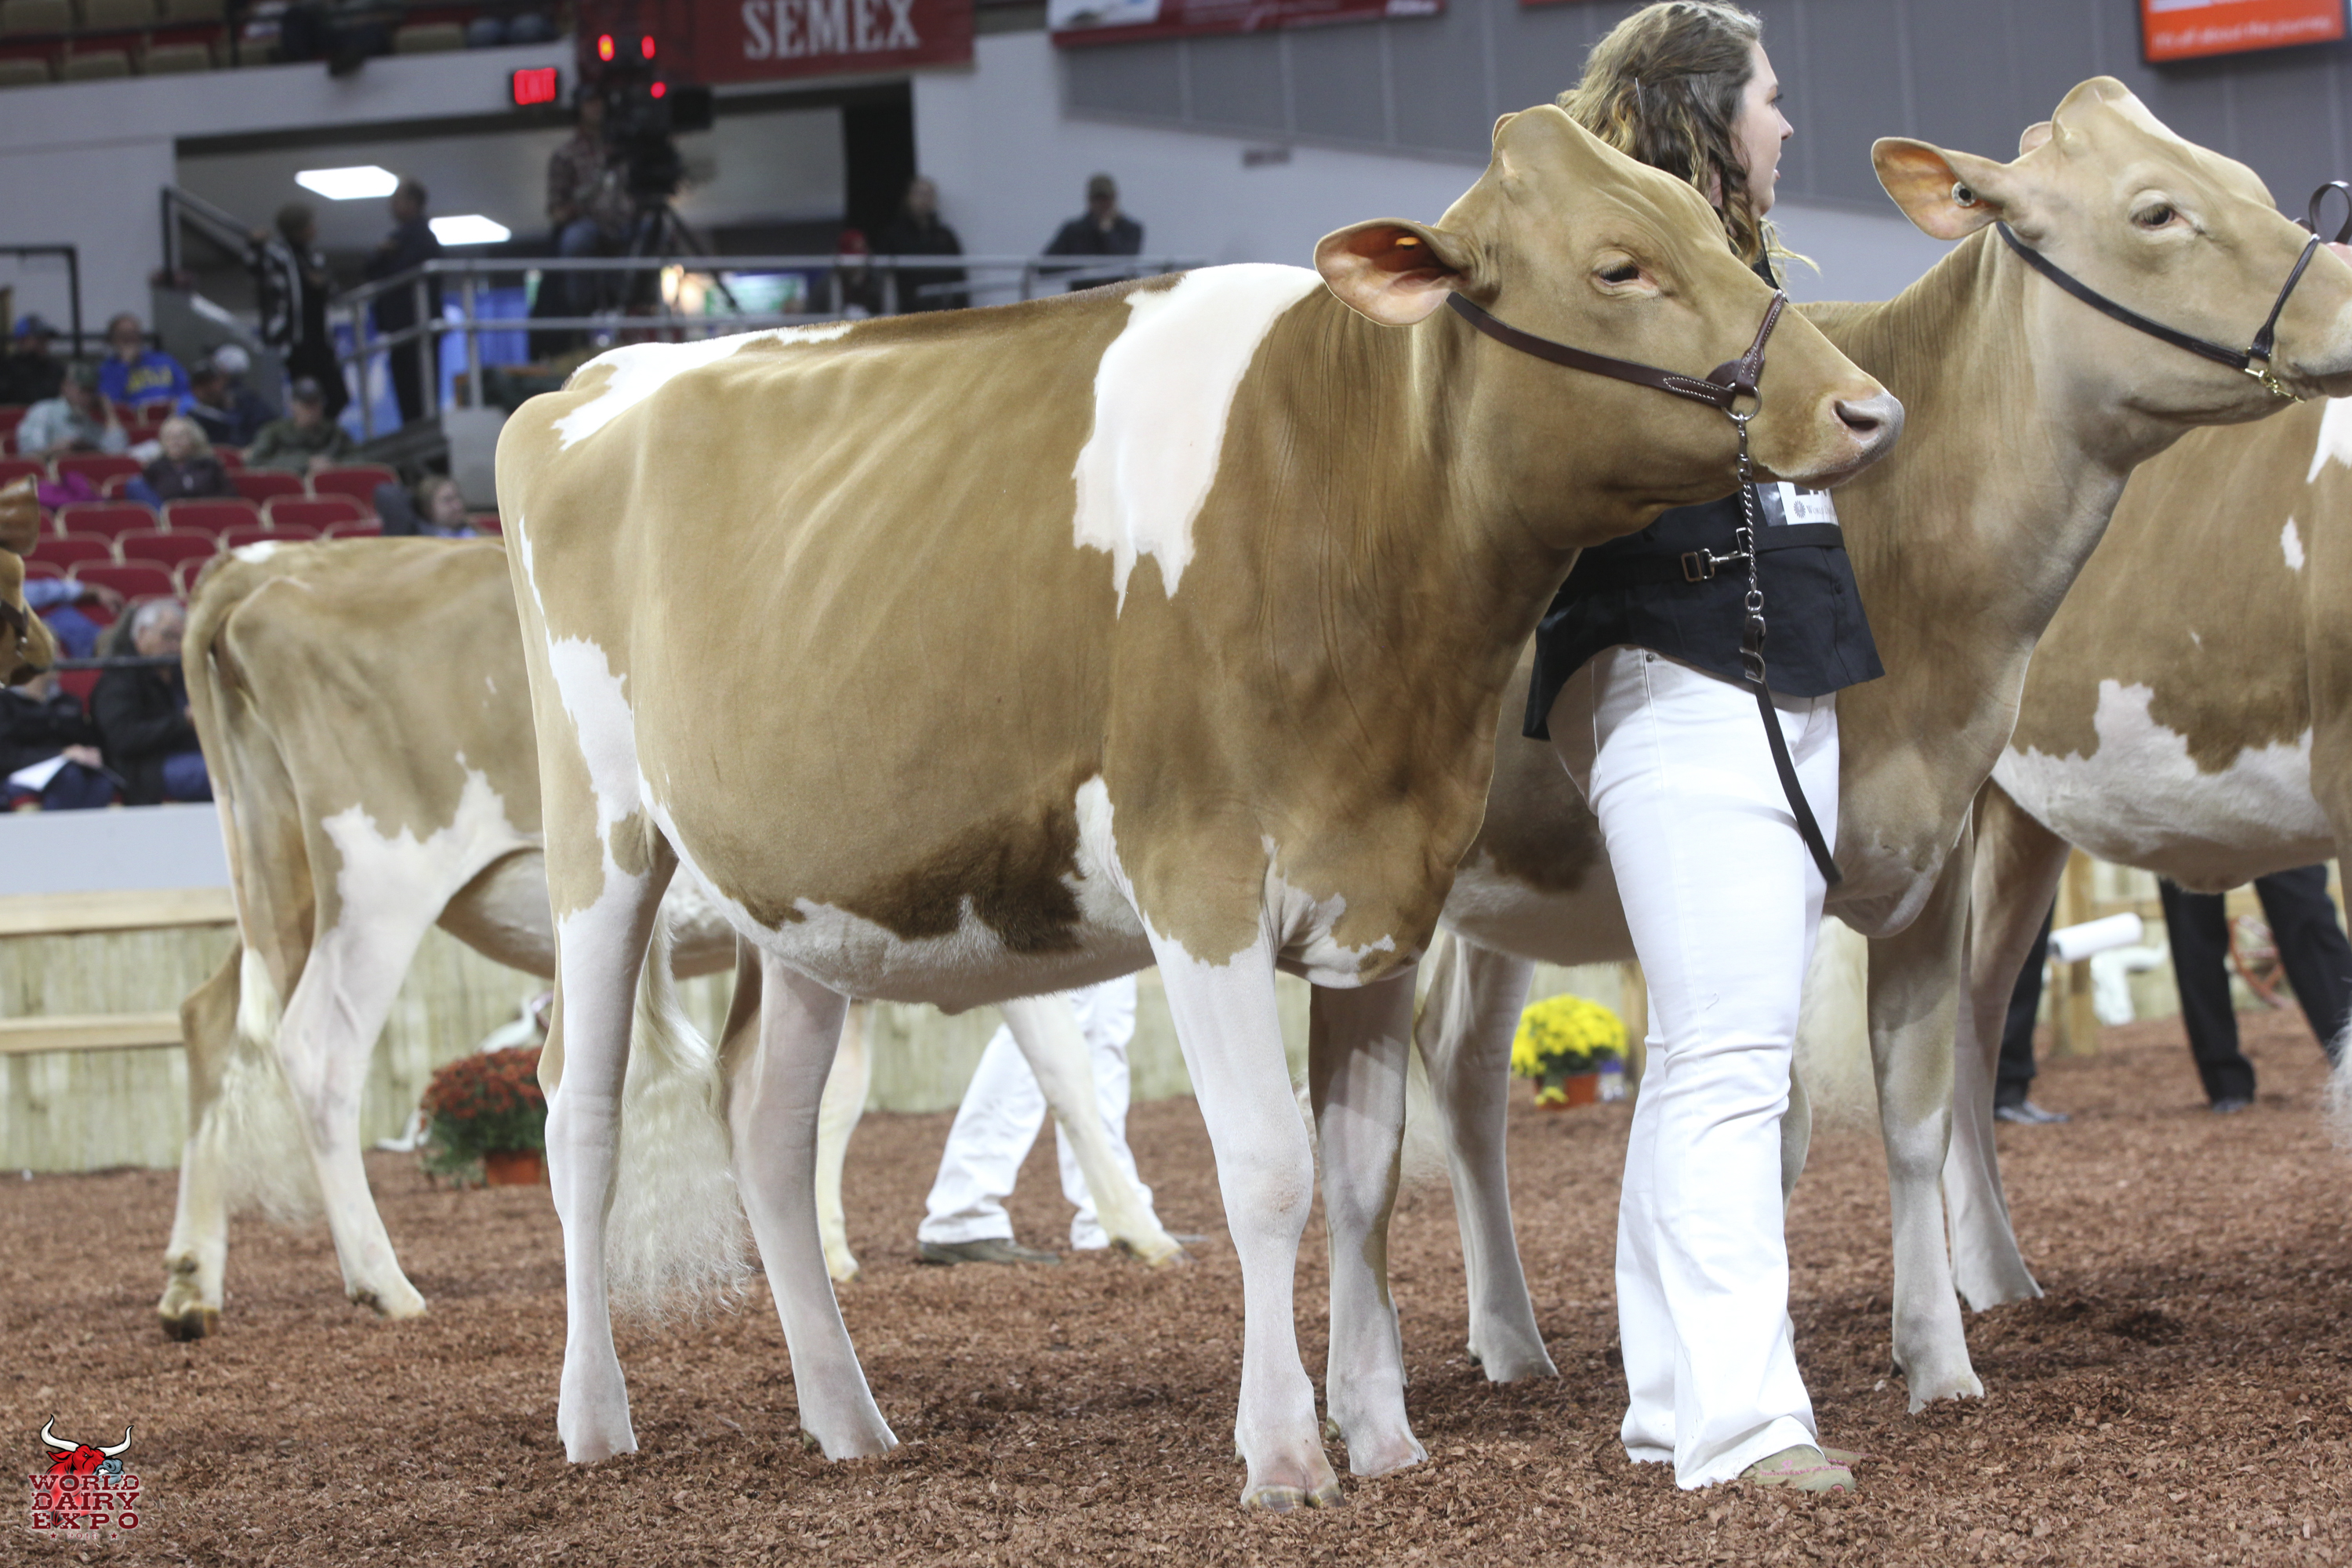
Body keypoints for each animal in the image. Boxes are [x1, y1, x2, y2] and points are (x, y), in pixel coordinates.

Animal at [161, 537, 1177, 1340]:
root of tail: (269, 566)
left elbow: (837, 1095)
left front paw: (821, 1243)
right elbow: (1064, 1067)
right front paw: (1142, 1227)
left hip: (279, 880)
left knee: (211, 1021)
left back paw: (191, 1282)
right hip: (375, 881)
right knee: (317, 1048)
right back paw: (383, 1281)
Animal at [497, 104, 1897, 1510]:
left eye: (1712, 229)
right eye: (1620, 265)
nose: (1868, 407)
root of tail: (587, 383)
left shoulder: (1385, 894)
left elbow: (1364, 1170)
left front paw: (1383, 1437)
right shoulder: (1201, 883)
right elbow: (1269, 1166)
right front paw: (1283, 1453)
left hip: (800, 894)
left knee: (766, 1120)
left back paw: (847, 1418)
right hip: (601, 836)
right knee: (582, 1109)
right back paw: (595, 1420)